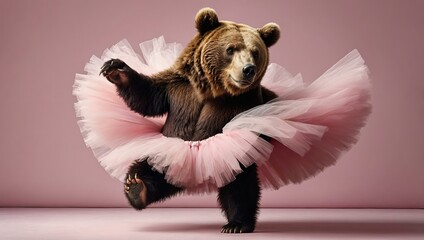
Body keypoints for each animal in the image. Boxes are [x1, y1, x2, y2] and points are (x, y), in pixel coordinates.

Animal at [98, 7, 278, 234]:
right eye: (230, 49)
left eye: (255, 52)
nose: (248, 69)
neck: (211, 89)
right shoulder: (176, 87)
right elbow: (147, 97)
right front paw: (116, 67)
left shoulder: (244, 104)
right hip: (167, 150)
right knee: (150, 169)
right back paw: (137, 187)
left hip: (231, 158)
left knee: (240, 185)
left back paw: (237, 224)